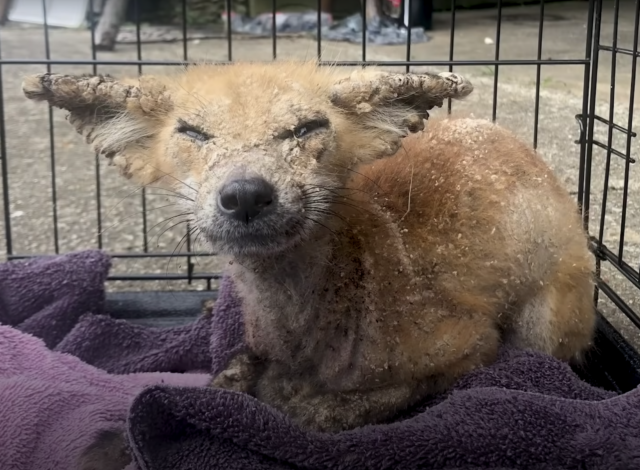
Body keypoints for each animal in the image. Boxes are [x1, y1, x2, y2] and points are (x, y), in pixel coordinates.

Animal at [22, 61, 596, 466]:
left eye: (306, 128)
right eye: (194, 133)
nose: (246, 194)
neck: (310, 334)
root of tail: (510, 137)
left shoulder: (468, 348)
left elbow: (307, 416)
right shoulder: (257, 343)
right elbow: (225, 380)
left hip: (540, 327)